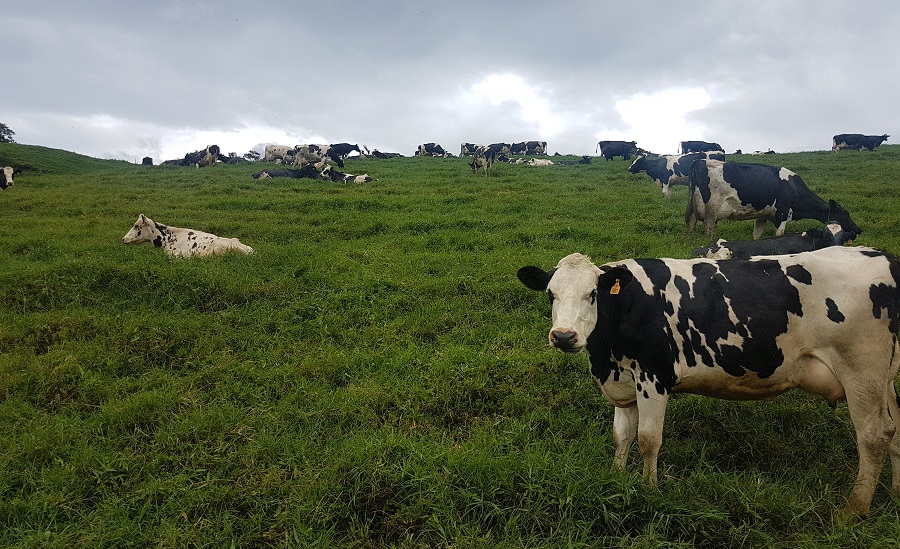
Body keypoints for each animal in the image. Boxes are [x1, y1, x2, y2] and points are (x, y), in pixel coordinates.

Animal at [512, 248, 900, 512]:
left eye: (592, 295)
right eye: (550, 294)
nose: (564, 336)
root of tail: (882, 256)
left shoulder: (655, 376)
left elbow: (648, 439)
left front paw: (649, 489)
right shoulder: (624, 380)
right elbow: (621, 436)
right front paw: (616, 478)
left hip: (862, 372)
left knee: (874, 435)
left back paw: (854, 510)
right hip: (884, 379)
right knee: (895, 431)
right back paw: (895, 493)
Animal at [684, 156, 860, 238]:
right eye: (846, 214)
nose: (859, 229)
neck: (794, 188)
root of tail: (700, 161)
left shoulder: (762, 216)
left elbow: (756, 235)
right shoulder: (783, 213)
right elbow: (779, 235)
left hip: (693, 206)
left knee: (691, 223)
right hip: (712, 207)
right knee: (708, 226)